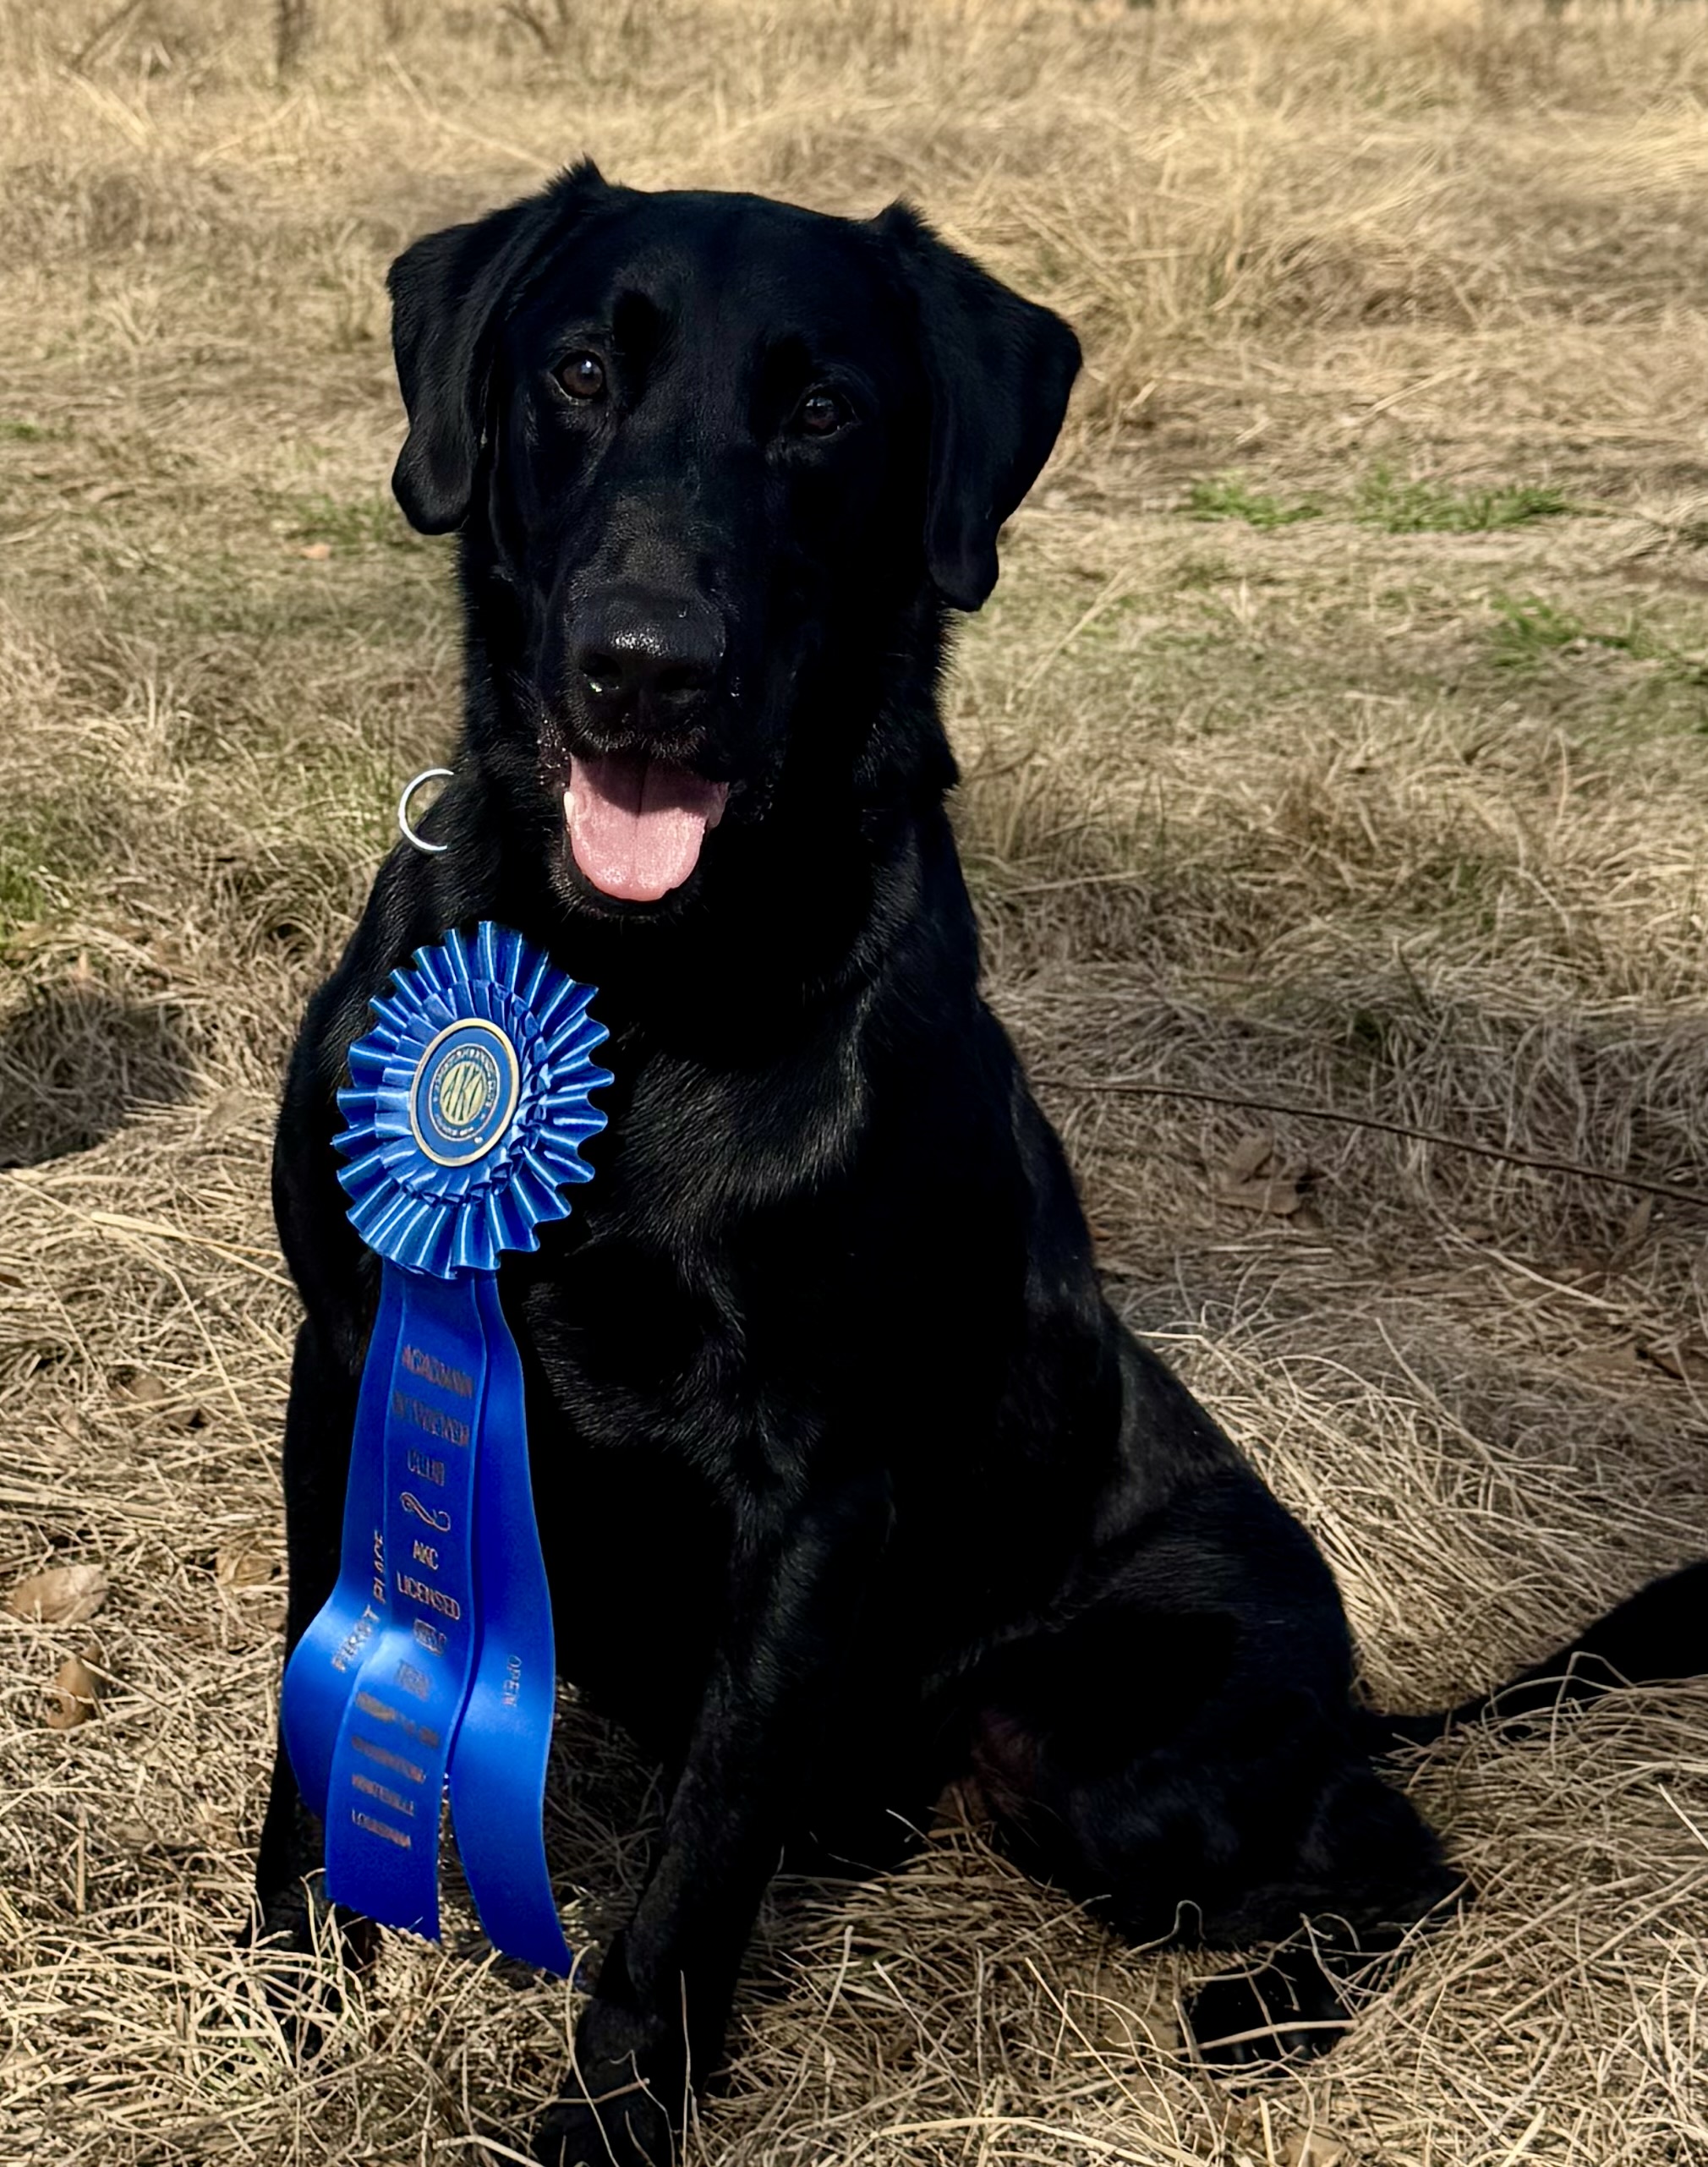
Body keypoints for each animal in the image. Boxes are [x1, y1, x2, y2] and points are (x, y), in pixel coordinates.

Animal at [254, 163, 1708, 2165]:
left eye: (821, 411)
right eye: (577, 372)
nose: (646, 669)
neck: (635, 979)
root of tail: (1358, 1695)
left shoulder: (813, 1491)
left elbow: (695, 1867)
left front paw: (617, 2115)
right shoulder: (349, 1355)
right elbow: (304, 1729)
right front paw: (291, 1987)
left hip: (1103, 1749)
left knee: (1396, 1856)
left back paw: (1268, 2006)